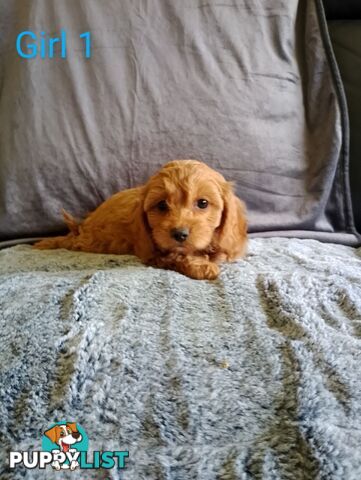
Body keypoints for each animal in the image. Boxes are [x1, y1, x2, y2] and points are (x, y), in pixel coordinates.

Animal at [33, 160, 246, 280]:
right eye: (161, 205)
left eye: (202, 203)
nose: (179, 234)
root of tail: (81, 226)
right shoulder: (153, 249)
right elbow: (175, 255)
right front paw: (201, 266)